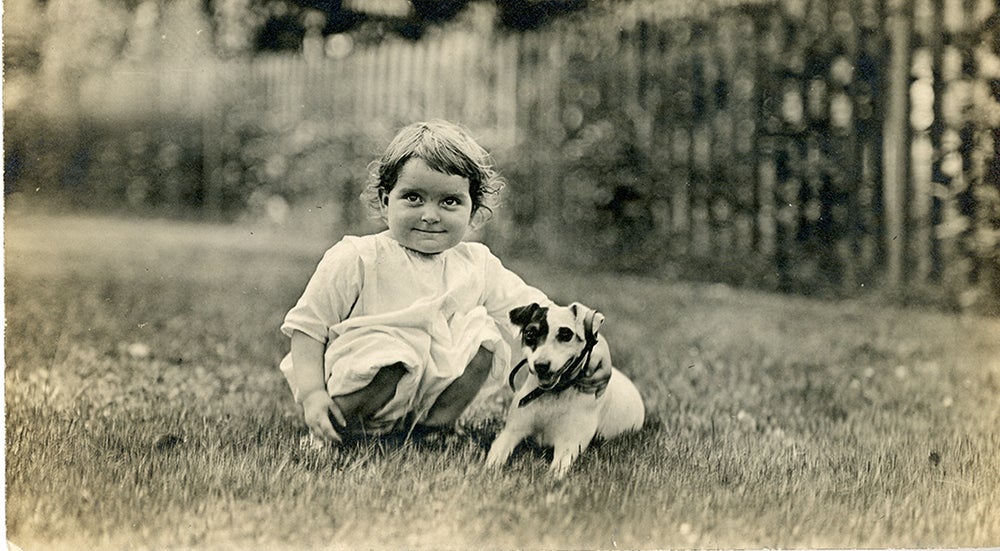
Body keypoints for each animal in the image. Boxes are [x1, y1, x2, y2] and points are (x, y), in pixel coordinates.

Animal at [486, 302, 644, 478]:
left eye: (566, 334)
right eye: (530, 333)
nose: (541, 366)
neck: (552, 395)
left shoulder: (569, 444)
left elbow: (555, 473)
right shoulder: (511, 432)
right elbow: (494, 457)